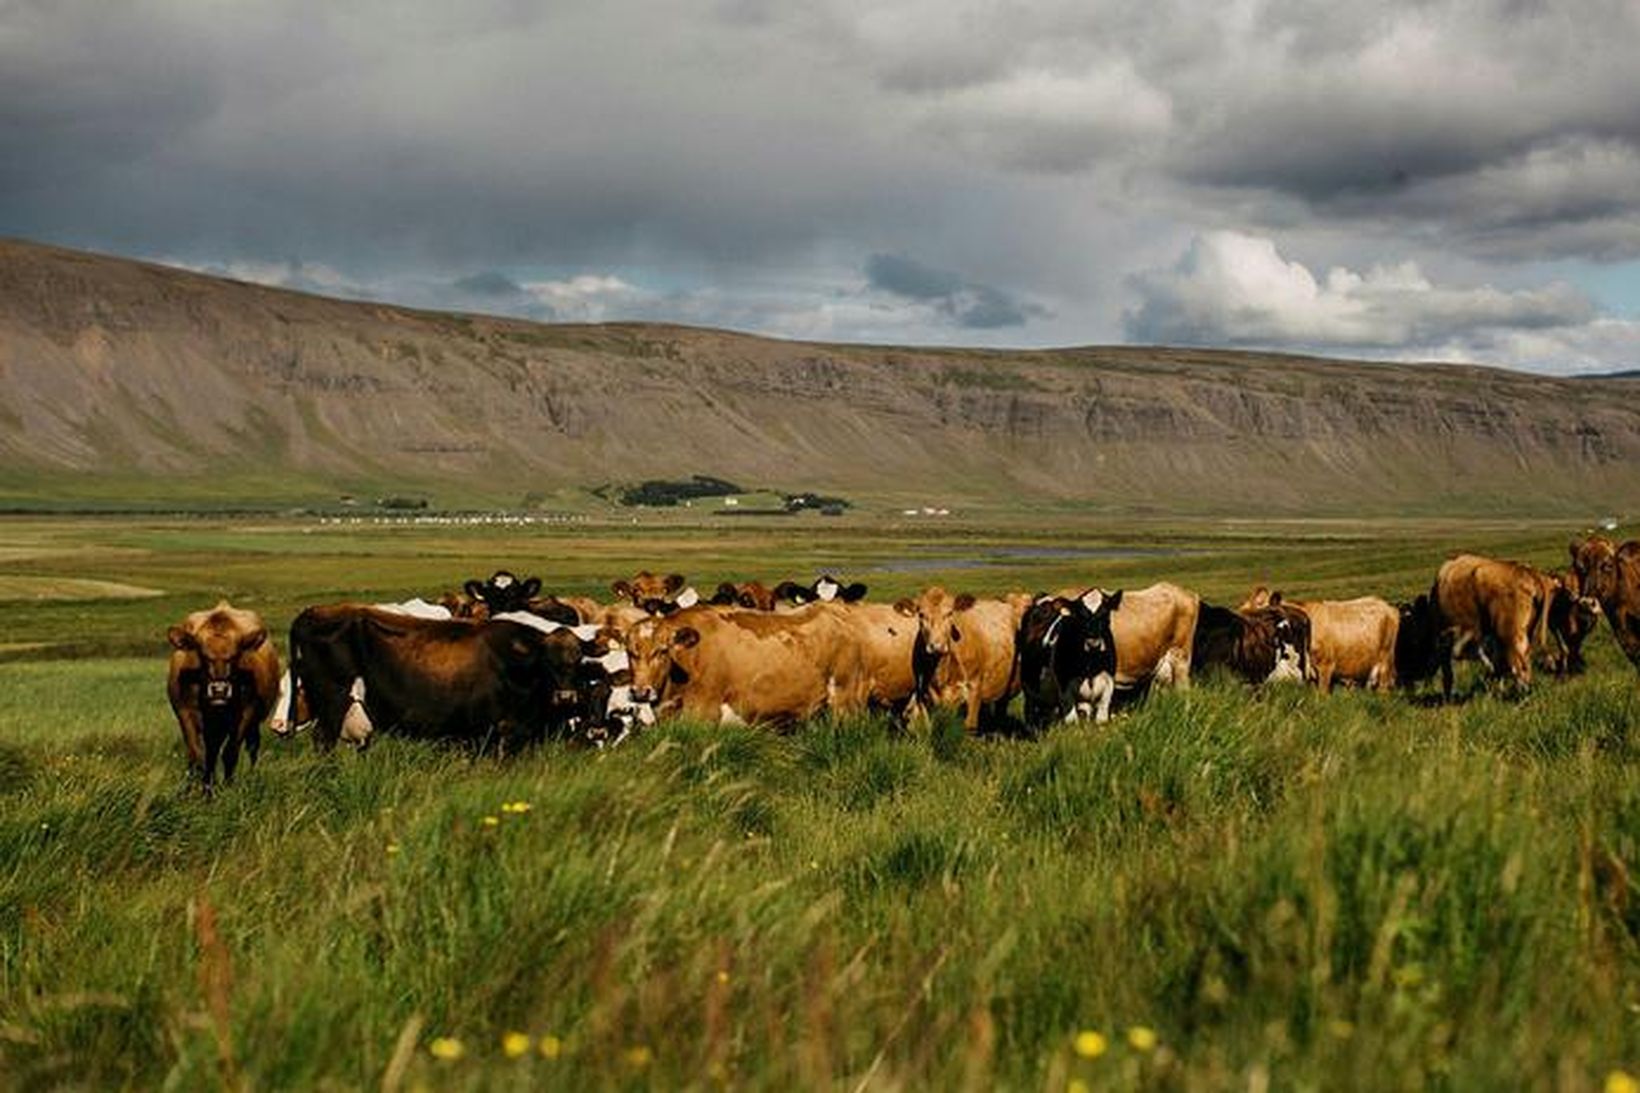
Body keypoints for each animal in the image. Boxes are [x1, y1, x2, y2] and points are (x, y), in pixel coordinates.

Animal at [166, 600, 282, 787]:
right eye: (203, 656)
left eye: (235, 656)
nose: (219, 690)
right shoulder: (185, 713)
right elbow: (197, 754)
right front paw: (200, 788)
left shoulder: (246, 714)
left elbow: (230, 753)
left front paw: (227, 786)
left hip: (252, 723)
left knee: (252, 747)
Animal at [892, 584, 1029, 728]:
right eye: (921, 615)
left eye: (950, 613)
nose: (936, 646)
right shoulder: (925, 693)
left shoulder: (974, 689)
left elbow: (970, 725)